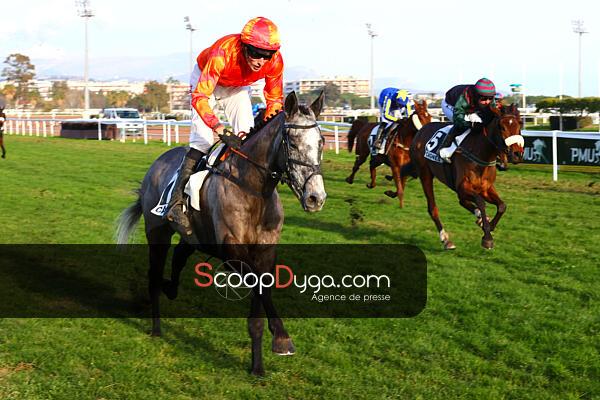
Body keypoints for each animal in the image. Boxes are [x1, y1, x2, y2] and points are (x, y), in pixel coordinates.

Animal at [115, 91, 327, 376]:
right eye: (292, 143)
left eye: (321, 142)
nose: (316, 198)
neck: (254, 189)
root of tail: (156, 165)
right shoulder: (231, 251)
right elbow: (258, 286)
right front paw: (282, 338)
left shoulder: (264, 253)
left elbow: (261, 298)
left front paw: (258, 365)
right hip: (157, 234)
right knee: (154, 274)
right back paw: (157, 326)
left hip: (194, 236)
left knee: (179, 255)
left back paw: (171, 288)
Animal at [404, 104, 524, 250]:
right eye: (501, 127)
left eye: (520, 124)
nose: (517, 154)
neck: (480, 153)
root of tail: (420, 131)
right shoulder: (463, 187)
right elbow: (481, 203)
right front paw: (487, 238)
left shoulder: (485, 188)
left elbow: (502, 206)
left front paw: (489, 225)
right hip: (425, 174)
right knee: (433, 208)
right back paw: (445, 239)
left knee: (462, 201)